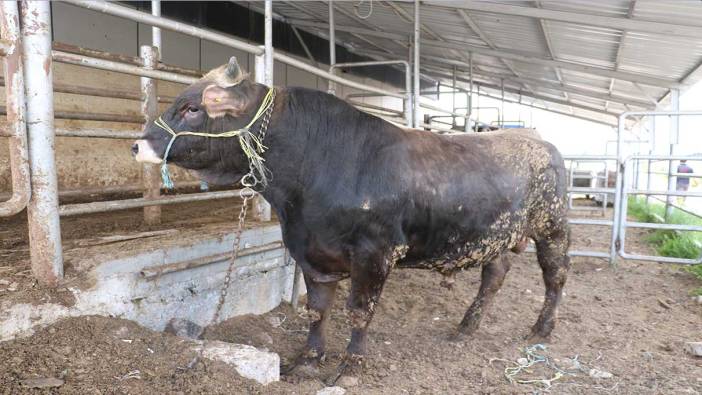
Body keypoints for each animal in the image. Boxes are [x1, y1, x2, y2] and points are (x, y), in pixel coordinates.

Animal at [133, 61, 572, 380]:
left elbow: (360, 311)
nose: (137, 145)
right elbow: (317, 310)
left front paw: (350, 365)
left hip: (552, 227)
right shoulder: (310, 251)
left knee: (555, 276)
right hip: (494, 236)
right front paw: (308, 359)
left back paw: (542, 328)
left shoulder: (375, 252)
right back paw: (465, 327)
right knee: (494, 274)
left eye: (192, 108)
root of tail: (536, 138)